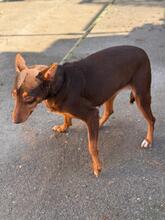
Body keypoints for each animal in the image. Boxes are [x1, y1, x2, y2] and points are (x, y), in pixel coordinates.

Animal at [11, 46, 156, 177]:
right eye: (13, 95)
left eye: (29, 98)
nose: (14, 121)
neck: (60, 84)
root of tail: (142, 51)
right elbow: (66, 117)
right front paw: (63, 127)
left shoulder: (91, 114)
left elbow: (92, 146)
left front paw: (97, 167)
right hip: (109, 90)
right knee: (109, 111)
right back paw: (99, 123)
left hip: (141, 97)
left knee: (151, 120)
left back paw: (148, 140)